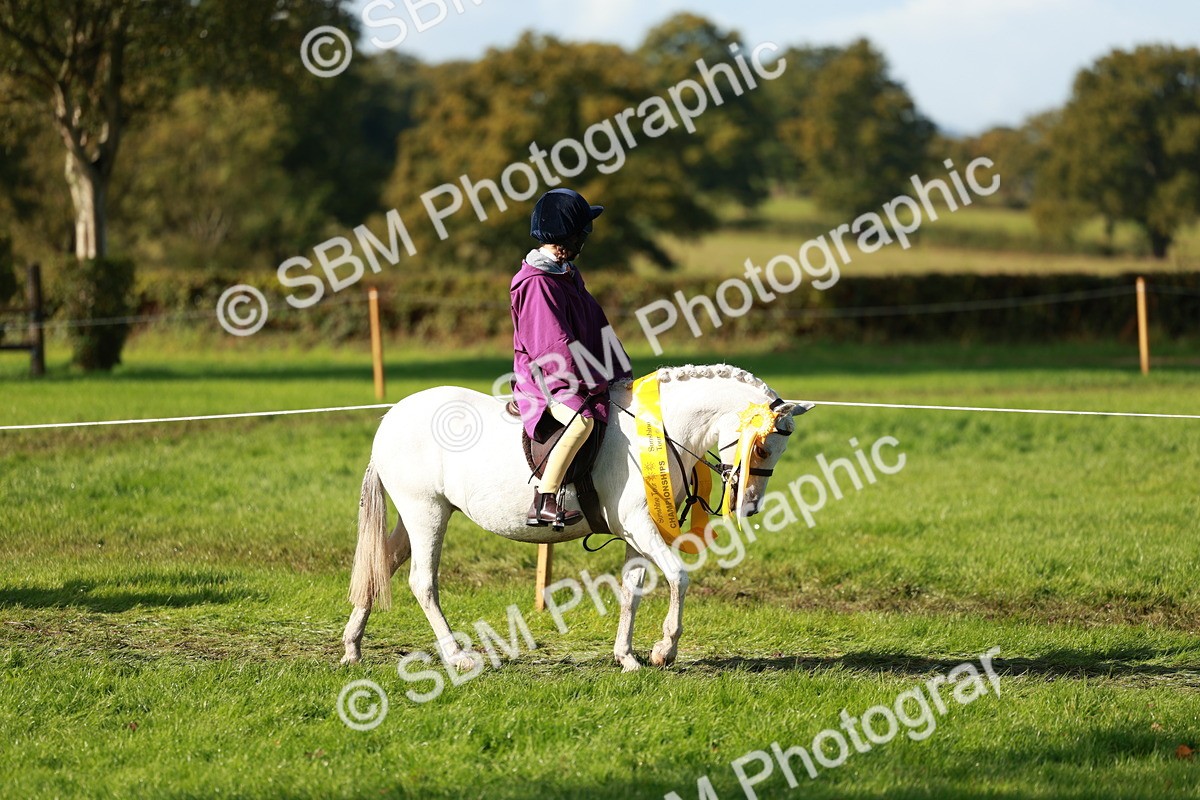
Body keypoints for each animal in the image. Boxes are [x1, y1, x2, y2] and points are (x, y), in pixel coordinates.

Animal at [340, 364, 810, 672]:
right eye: (762, 447)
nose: (749, 506)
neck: (657, 428)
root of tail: (391, 417)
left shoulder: (638, 533)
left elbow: (632, 589)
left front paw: (627, 657)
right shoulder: (640, 525)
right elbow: (678, 577)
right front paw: (665, 651)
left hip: (417, 514)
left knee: (382, 565)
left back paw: (352, 648)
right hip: (427, 512)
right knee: (422, 581)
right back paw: (457, 656)